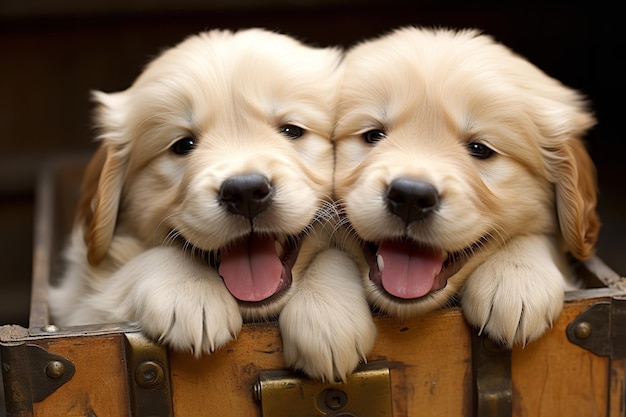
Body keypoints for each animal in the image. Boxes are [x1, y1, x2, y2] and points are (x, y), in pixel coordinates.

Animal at [48, 27, 372, 380]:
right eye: (183, 145)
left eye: (291, 130)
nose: (245, 192)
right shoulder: (80, 301)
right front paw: (191, 292)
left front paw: (326, 314)